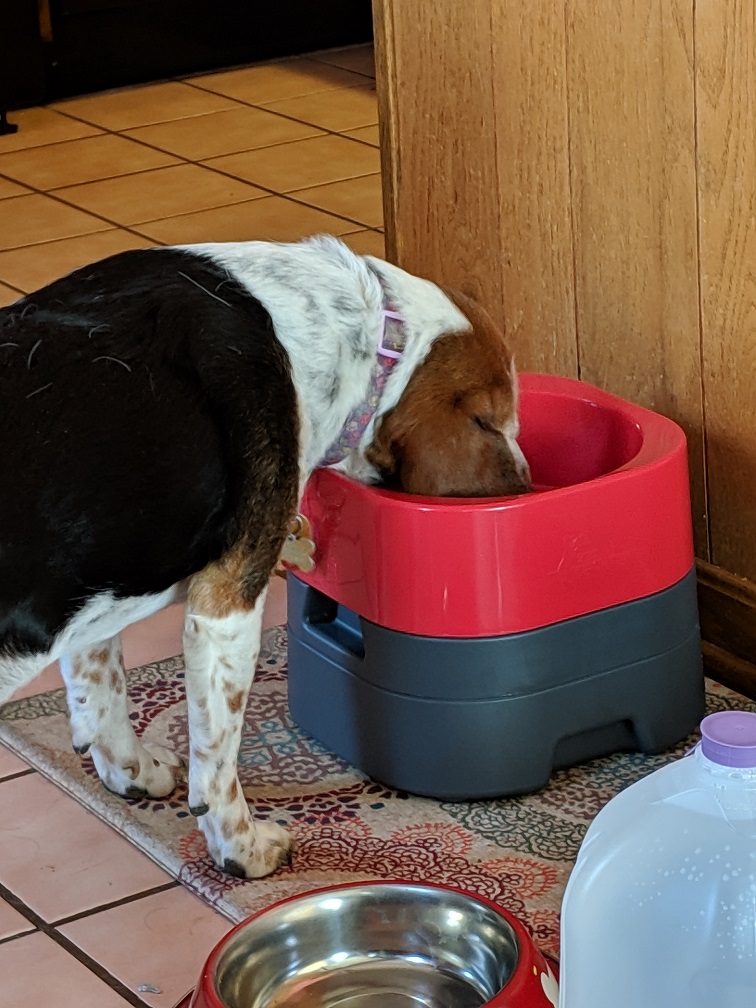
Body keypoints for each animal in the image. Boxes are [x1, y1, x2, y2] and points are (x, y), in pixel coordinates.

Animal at [0, 235, 528, 874]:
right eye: (488, 421)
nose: (529, 488)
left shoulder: (102, 577)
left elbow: (100, 686)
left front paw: (131, 768)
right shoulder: (225, 612)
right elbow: (217, 762)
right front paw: (240, 847)